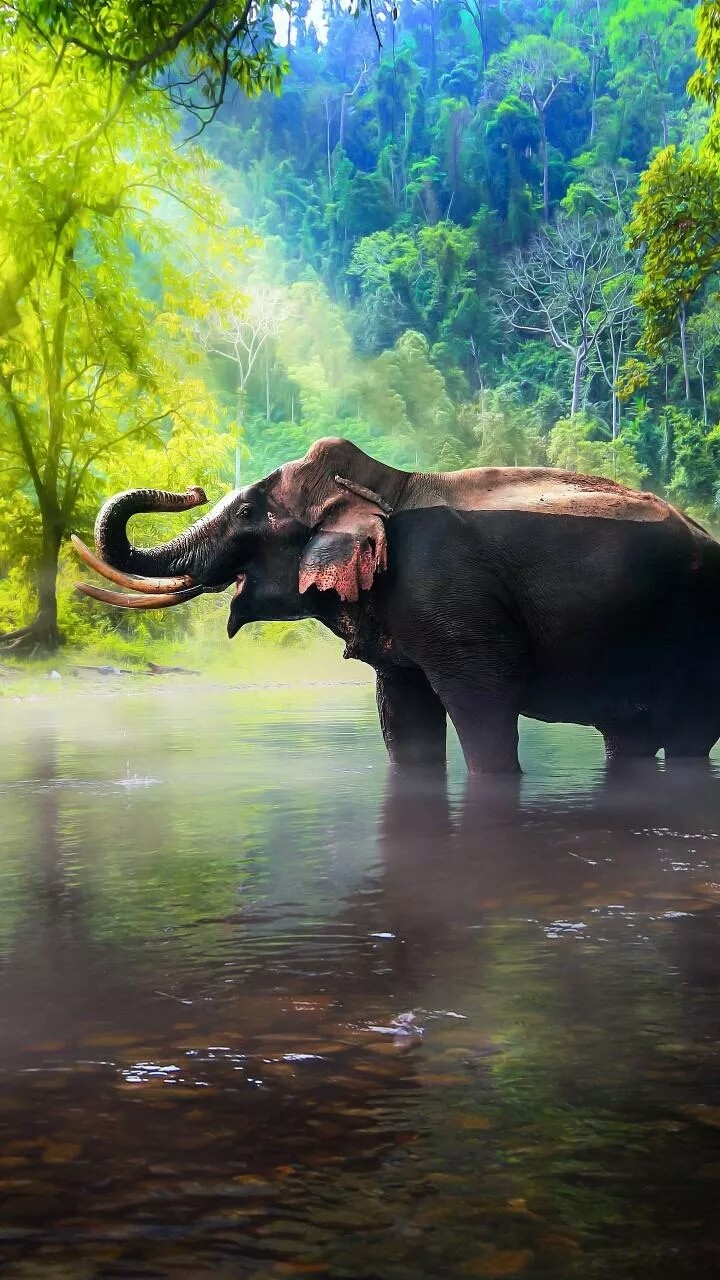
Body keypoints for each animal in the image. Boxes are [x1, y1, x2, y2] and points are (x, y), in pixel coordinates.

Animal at [73, 437, 720, 774]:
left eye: (250, 513)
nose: (192, 489)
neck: (390, 484)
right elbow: (403, 715)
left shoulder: (452, 599)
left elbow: (484, 705)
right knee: (630, 738)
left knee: (689, 739)